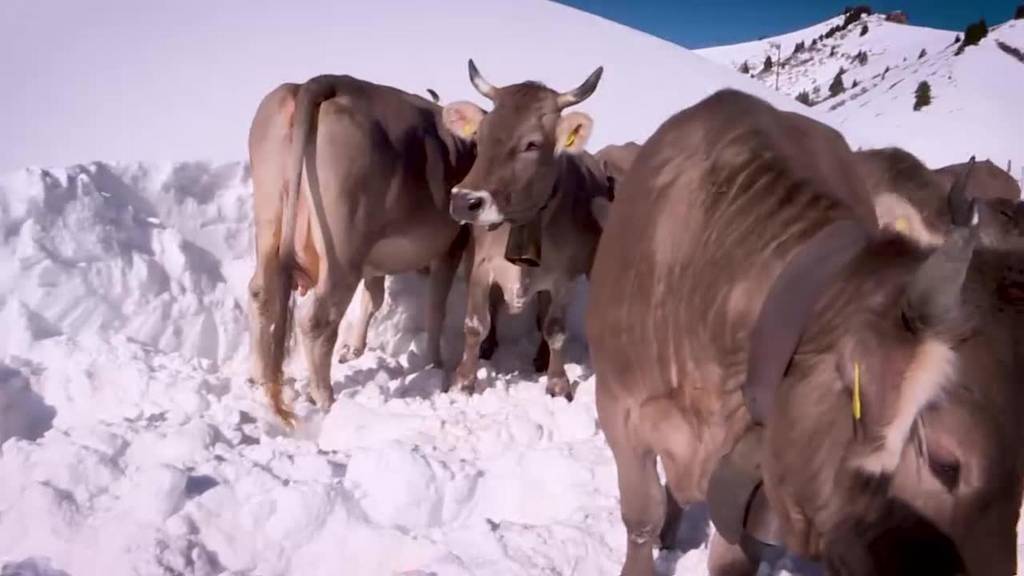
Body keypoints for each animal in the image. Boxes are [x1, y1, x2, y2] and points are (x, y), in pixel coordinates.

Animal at [247, 73, 475, 424]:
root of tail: (324, 81)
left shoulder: (376, 260)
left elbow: (373, 298)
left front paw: (353, 349)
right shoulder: (452, 245)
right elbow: (435, 307)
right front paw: (435, 365)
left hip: (270, 217)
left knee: (261, 292)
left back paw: (258, 376)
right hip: (342, 247)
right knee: (317, 320)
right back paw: (325, 398)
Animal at [440, 60, 606, 397]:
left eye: (532, 144)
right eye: (480, 135)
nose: (464, 201)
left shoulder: (564, 279)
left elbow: (555, 330)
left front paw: (558, 382)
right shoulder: (481, 265)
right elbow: (476, 323)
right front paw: (464, 380)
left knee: (543, 316)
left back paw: (542, 358)